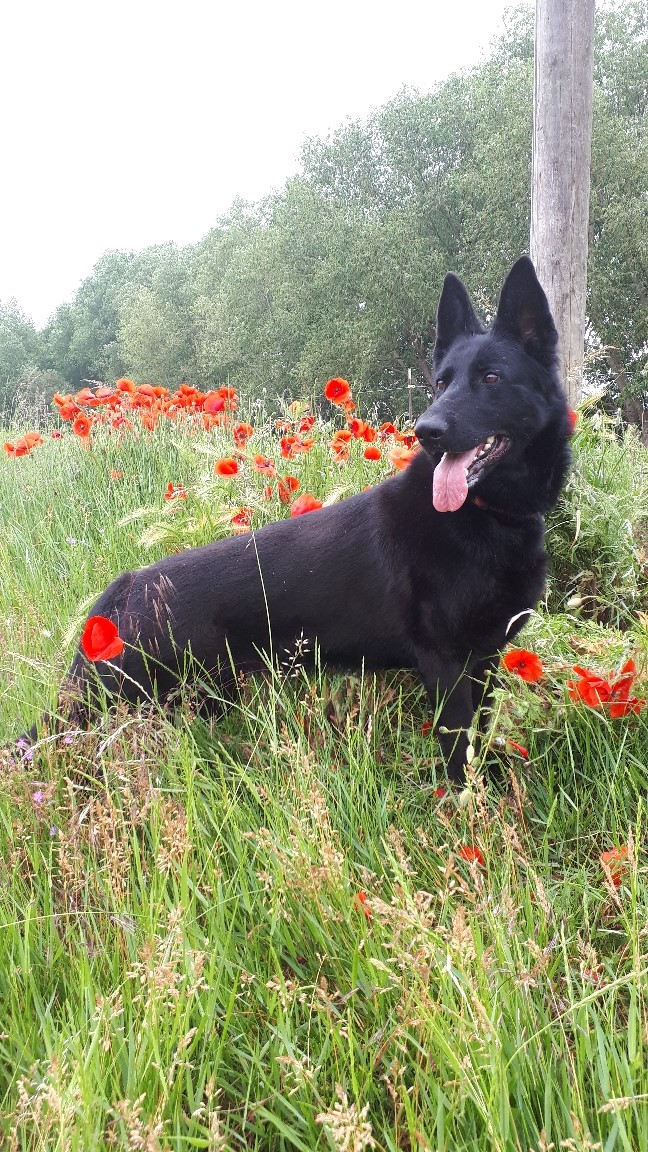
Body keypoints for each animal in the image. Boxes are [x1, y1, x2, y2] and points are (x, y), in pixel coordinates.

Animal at [37, 259, 567, 783]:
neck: (487, 517)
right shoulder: (448, 667)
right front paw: (469, 804)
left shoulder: (485, 660)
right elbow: (460, 760)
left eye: (492, 378)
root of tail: (128, 587)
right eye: (441, 383)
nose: (426, 432)